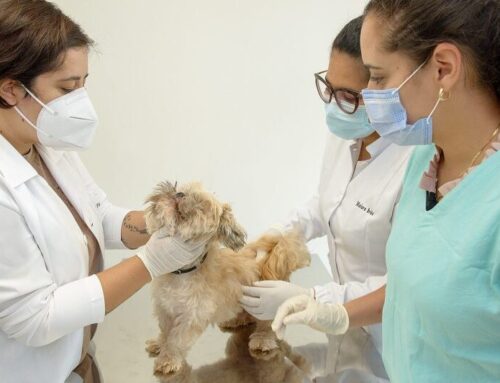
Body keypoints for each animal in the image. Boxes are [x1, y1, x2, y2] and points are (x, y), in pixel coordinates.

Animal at [143, 182, 310, 378]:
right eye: (183, 189)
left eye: (201, 203)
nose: (179, 193)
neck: (182, 273)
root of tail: (271, 254)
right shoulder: (164, 308)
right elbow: (165, 331)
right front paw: (160, 344)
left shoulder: (192, 316)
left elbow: (176, 339)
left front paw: (168, 359)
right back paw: (236, 321)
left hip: (267, 303)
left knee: (267, 324)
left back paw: (262, 339)